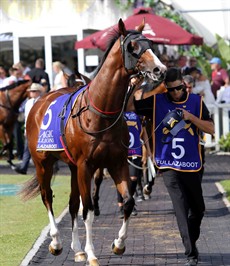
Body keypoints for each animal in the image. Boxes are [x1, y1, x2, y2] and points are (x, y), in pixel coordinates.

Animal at [19, 19, 166, 266]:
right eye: (133, 47)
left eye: (151, 44)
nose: (160, 69)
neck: (99, 111)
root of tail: (40, 101)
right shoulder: (85, 165)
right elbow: (87, 209)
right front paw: (91, 253)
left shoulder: (117, 162)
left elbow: (127, 201)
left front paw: (118, 244)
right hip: (43, 163)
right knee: (47, 196)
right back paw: (57, 242)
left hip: (71, 166)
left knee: (71, 203)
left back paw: (76, 249)